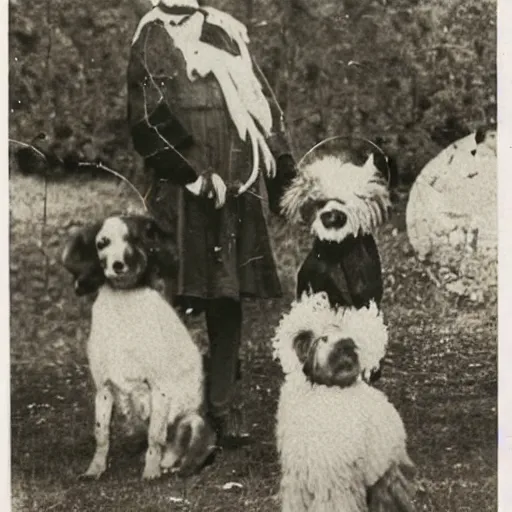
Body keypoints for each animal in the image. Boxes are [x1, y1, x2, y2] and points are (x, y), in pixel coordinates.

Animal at [62, 214, 216, 478]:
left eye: (134, 240)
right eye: (102, 243)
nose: (118, 265)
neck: (123, 305)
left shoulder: (159, 387)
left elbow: (155, 437)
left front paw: (150, 472)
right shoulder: (103, 388)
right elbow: (101, 434)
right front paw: (95, 469)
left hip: (192, 421)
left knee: (184, 448)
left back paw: (170, 465)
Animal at [272, 292, 416, 512]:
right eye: (323, 339)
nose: (347, 346)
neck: (329, 389)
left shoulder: (336, 480)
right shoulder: (299, 477)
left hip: (385, 474)